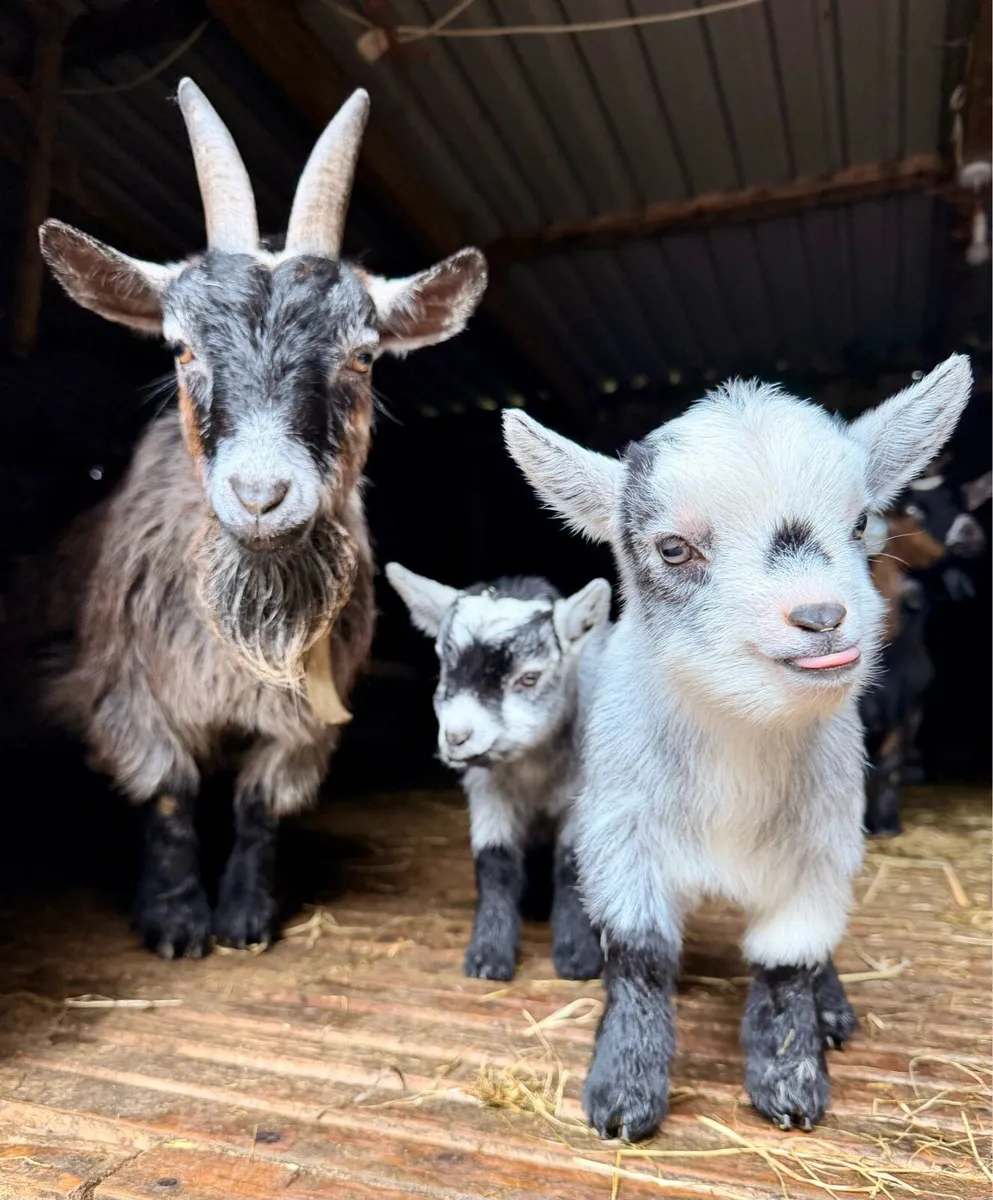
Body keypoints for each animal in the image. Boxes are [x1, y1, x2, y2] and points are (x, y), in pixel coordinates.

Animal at [32, 80, 487, 959]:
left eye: (363, 355)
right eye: (179, 349)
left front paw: (243, 917)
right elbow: (169, 792)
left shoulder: (305, 714)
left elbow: (259, 804)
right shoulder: (124, 692)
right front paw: (176, 922)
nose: (261, 495)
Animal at [386, 564, 610, 981]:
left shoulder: (581, 793)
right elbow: (495, 864)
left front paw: (578, 954)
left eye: (529, 677)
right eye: (445, 663)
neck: (533, 767)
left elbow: (571, 864)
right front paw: (488, 955)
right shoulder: (488, 792)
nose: (456, 737)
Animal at [502, 356, 972, 1138]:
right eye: (672, 548)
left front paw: (791, 1081)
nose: (821, 616)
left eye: (860, 523)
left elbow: (789, 963)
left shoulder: (820, 843)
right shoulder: (622, 835)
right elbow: (639, 956)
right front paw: (622, 1094)